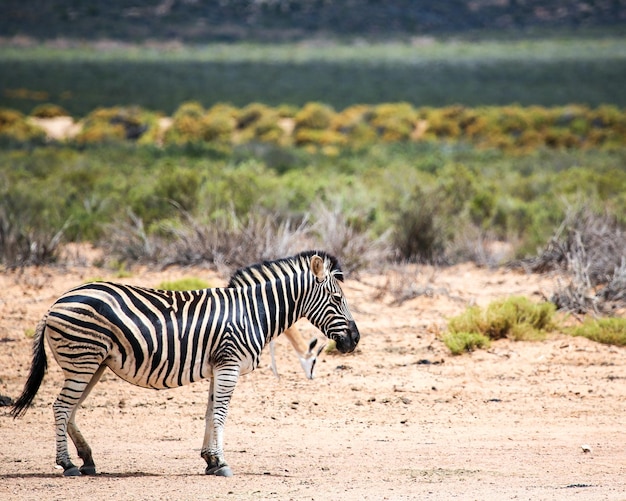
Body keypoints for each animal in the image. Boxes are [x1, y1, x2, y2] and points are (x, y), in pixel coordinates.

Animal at [11, 250, 360, 476]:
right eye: (337, 299)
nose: (354, 340)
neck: (252, 312)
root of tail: (55, 302)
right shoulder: (229, 365)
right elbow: (220, 415)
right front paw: (221, 462)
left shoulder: (219, 366)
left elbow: (209, 413)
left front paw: (210, 460)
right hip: (82, 359)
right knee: (60, 406)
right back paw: (68, 464)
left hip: (93, 363)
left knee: (70, 408)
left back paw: (87, 459)